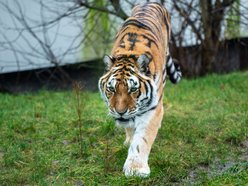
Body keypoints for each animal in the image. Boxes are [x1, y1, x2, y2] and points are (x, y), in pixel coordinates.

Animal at [98, 2, 181, 177]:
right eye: (111, 89)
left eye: (133, 89)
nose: (120, 112)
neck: (129, 53)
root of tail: (151, 2)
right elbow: (131, 127)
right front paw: (129, 141)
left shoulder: (153, 108)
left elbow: (142, 139)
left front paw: (136, 168)